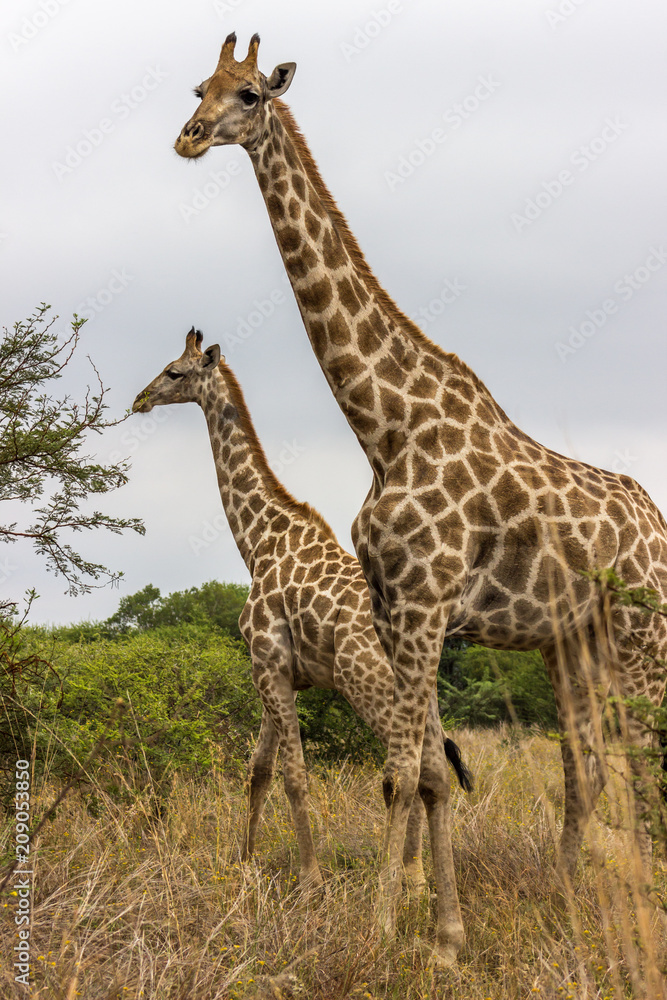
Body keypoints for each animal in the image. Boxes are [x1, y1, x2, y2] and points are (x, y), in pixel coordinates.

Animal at [133, 326, 472, 900]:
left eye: (174, 372)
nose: (139, 400)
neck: (258, 541)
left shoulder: (267, 662)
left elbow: (294, 776)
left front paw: (310, 879)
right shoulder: (279, 672)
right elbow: (259, 771)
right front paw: (244, 863)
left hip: (365, 682)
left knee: (406, 770)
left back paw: (405, 878)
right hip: (420, 696)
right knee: (431, 769)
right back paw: (416, 878)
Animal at [175, 35, 667, 964]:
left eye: (250, 94)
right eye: (198, 87)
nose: (186, 139)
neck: (385, 427)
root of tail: (657, 525)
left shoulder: (425, 605)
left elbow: (407, 769)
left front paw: (387, 930)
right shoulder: (399, 608)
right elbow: (430, 768)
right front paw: (440, 930)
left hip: (640, 633)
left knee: (645, 756)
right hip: (572, 644)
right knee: (587, 764)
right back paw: (570, 889)